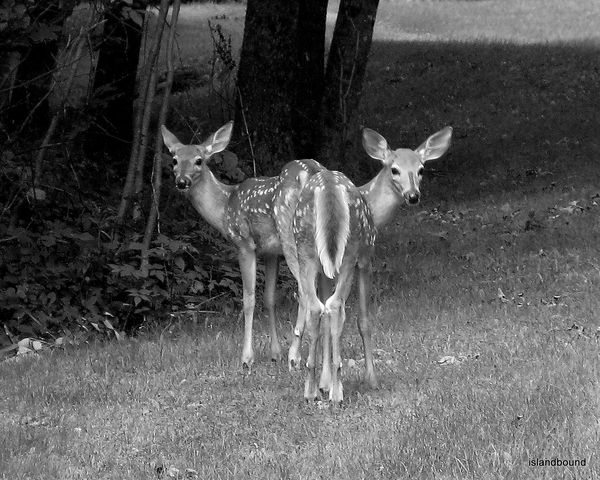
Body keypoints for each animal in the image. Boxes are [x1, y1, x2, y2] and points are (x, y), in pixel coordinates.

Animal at [159, 122, 326, 370]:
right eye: (174, 160)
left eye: (199, 160)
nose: (182, 182)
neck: (224, 206)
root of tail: (311, 172)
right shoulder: (271, 253)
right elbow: (269, 299)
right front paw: (274, 353)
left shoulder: (244, 244)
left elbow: (249, 300)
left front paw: (247, 358)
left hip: (292, 235)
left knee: (306, 294)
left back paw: (295, 356)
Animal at [288, 124, 452, 398]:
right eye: (394, 169)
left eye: (421, 169)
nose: (413, 196)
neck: (373, 208)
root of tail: (328, 190)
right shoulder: (366, 257)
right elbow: (363, 320)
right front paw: (369, 380)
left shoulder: (326, 268)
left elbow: (324, 317)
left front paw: (323, 382)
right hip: (350, 250)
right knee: (335, 305)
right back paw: (337, 394)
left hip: (307, 250)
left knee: (315, 306)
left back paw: (310, 391)